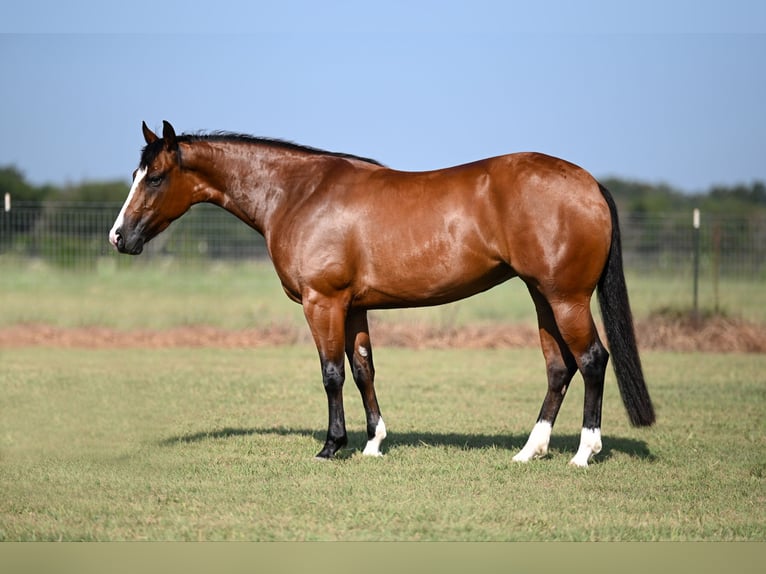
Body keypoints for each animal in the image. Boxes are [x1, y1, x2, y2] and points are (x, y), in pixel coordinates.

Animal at [111, 121, 656, 468]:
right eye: (136, 175)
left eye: (155, 177)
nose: (119, 237)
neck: (299, 193)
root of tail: (588, 182)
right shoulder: (354, 307)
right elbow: (362, 370)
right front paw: (373, 443)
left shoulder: (323, 302)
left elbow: (331, 373)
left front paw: (332, 447)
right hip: (543, 297)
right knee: (559, 367)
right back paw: (529, 451)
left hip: (566, 298)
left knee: (592, 359)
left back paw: (584, 454)